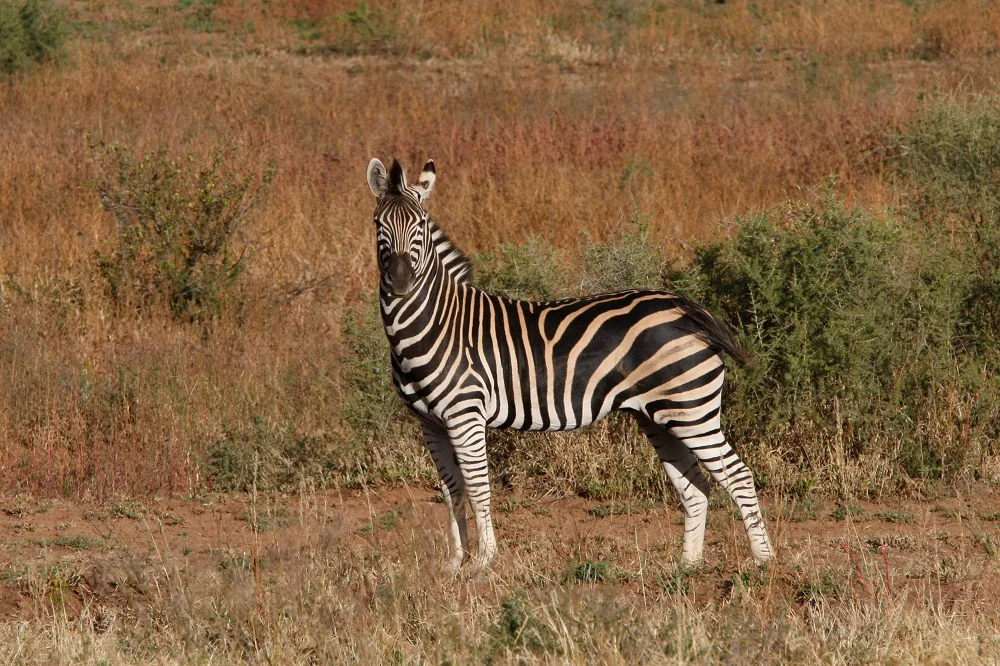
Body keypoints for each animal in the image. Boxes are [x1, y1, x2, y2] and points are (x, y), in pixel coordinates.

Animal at [365, 157, 773, 574]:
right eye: (379, 224)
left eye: (420, 225)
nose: (401, 282)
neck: (435, 323)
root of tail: (684, 306)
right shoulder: (430, 423)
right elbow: (452, 491)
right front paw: (454, 565)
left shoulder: (466, 415)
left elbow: (478, 488)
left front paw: (483, 563)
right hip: (659, 415)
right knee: (695, 487)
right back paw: (687, 566)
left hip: (690, 407)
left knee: (739, 476)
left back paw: (763, 561)